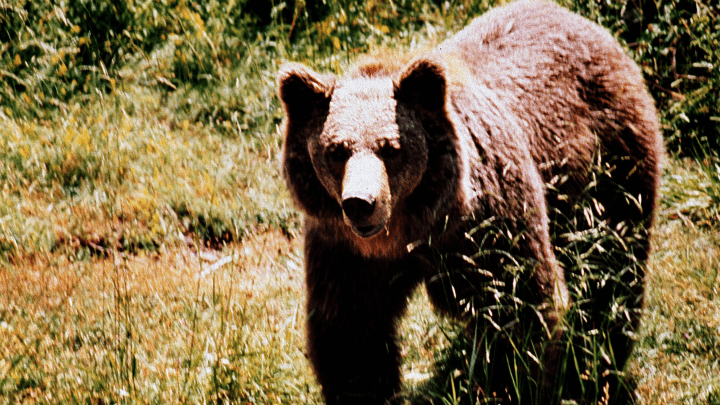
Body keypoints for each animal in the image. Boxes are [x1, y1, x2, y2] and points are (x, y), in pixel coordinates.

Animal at [277, 1, 663, 404]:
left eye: (391, 148)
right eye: (336, 150)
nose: (360, 203)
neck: (409, 227)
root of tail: (587, 24)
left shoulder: (490, 225)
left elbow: (516, 307)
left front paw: (505, 383)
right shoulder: (345, 251)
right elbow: (351, 330)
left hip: (610, 164)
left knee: (612, 265)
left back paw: (596, 363)